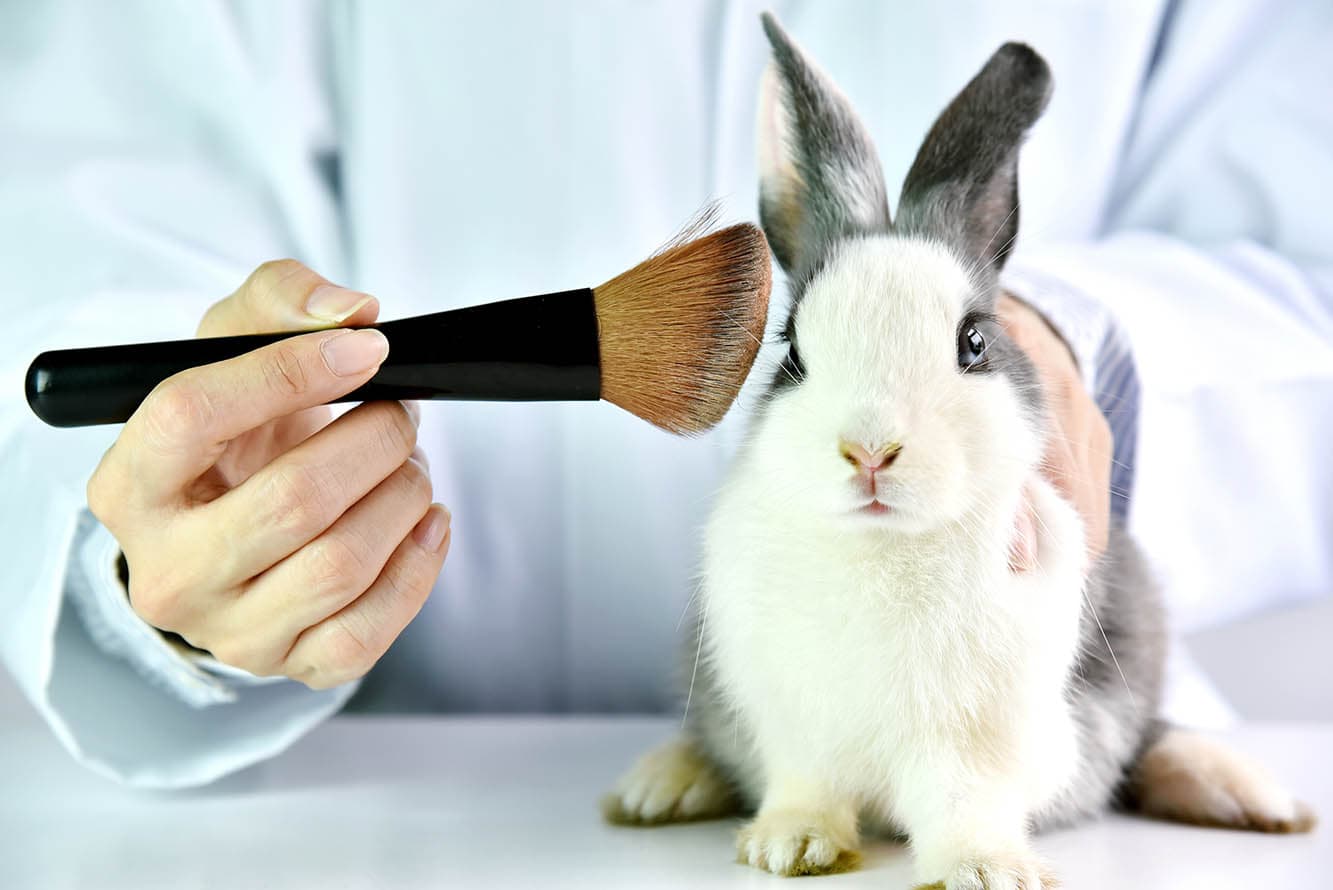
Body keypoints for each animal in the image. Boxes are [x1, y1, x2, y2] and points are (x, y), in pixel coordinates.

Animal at [602, 12, 1316, 889]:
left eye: (973, 343)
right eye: (791, 351)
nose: (869, 451)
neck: (882, 546)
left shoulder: (981, 739)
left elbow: (963, 803)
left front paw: (985, 871)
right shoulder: (793, 722)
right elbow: (805, 785)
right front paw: (789, 846)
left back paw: (1247, 797)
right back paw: (658, 788)